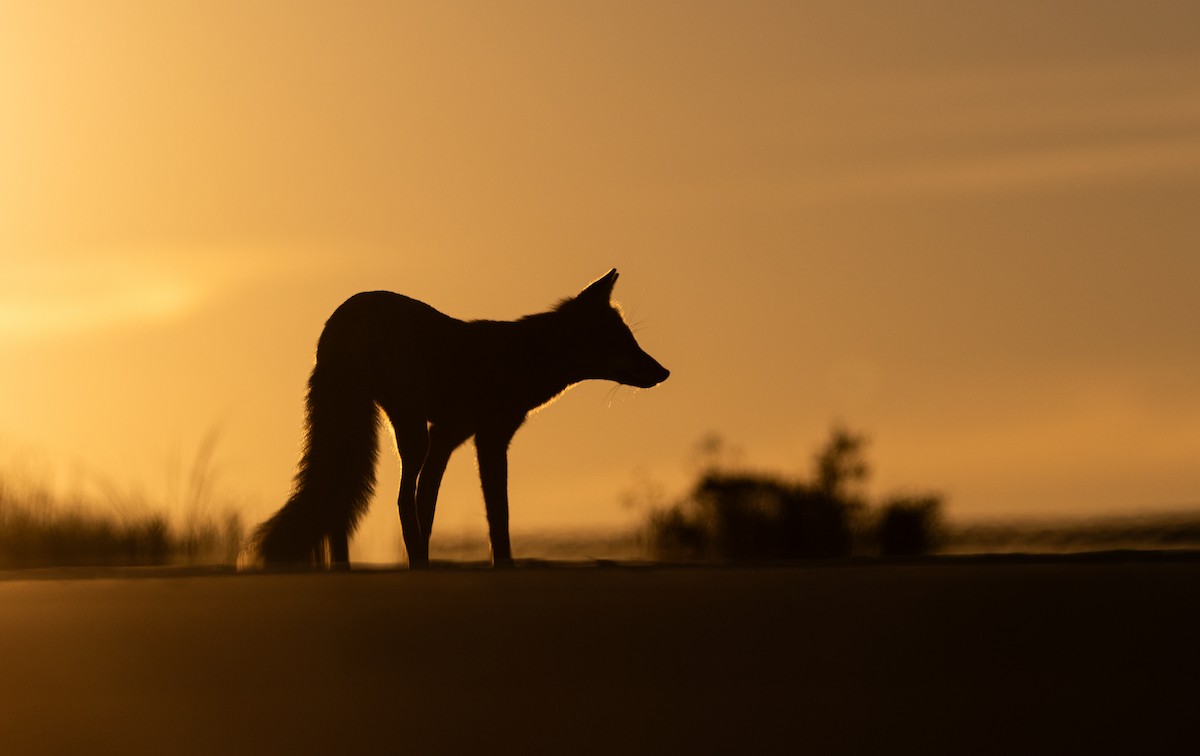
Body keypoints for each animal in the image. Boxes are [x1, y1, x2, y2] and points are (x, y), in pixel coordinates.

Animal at [252, 268, 669, 568]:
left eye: (632, 340)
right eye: (622, 342)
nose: (664, 372)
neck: (523, 358)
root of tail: (347, 313)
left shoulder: (448, 437)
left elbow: (428, 507)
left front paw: (424, 559)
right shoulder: (490, 437)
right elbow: (498, 516)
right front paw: (501, 565)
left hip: (389, 434)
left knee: (343, 501)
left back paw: (346, 567)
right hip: (410, 435)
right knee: (394, 500)